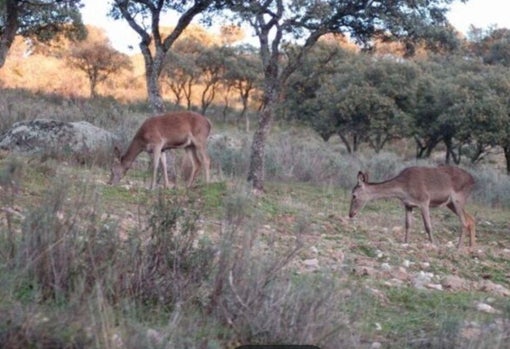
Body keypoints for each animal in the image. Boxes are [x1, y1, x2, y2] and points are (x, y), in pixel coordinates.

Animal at [348, 165, 476, 247]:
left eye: (354, 195)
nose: (350, 214)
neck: (404, 189)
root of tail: (473, 181)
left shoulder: (424, 201)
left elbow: (428, 226)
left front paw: (433, 244)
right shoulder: (408, 205)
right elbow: (408, 224)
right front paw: (406, 242)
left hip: (458, 199)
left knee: (464, 222)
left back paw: (458, 247)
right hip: (450, 203)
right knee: (470, 219)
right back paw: (471, 246)